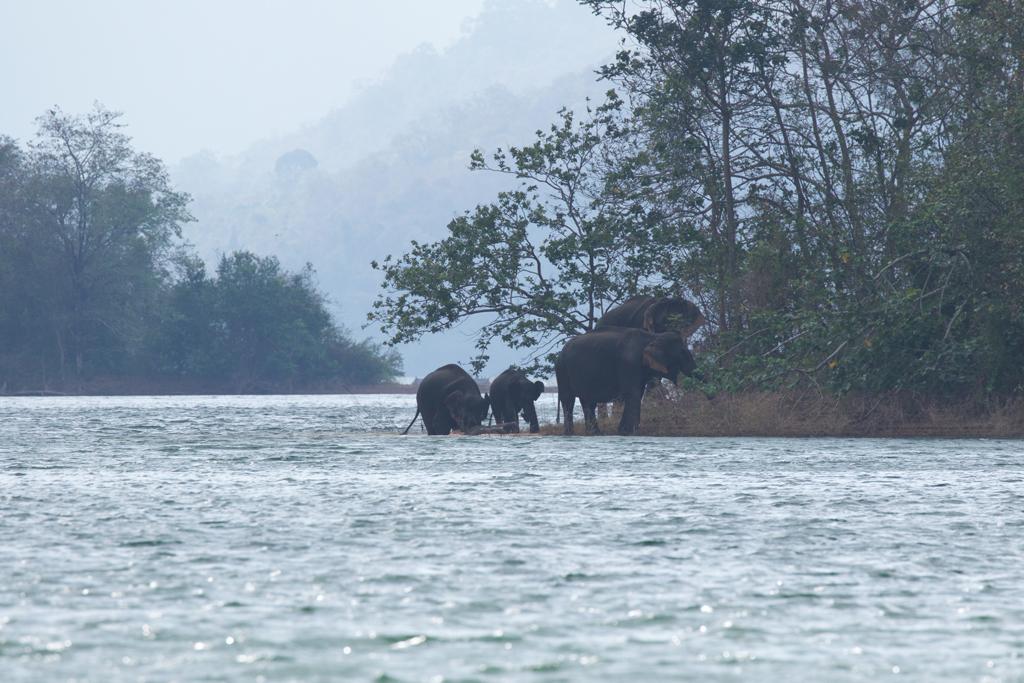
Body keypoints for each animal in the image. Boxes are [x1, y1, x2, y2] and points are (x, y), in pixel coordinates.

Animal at [557, 327, 700, 436]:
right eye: (682, 352)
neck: (652, 336)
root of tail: (562, 350)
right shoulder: (629, 363)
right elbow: (633, 394)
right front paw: (630, 432)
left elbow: (637, 394)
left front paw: (624, 432)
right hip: (562, 369)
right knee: (568, 400)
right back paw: (570, 433)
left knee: (588, 402)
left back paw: (595, 433)